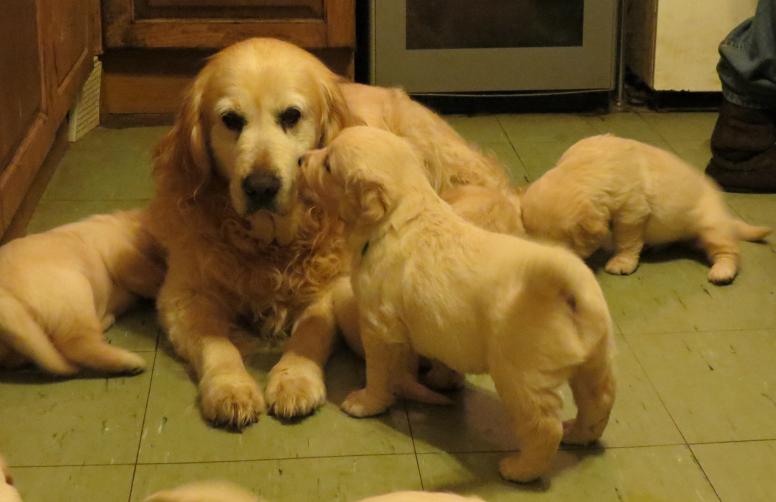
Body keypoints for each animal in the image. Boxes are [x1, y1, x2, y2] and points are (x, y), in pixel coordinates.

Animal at [0, 209, 164, 376]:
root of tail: (5, 297)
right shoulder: (120, 255)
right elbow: (151, 277)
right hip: (75, 291)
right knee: (77, 345)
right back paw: (130, 362)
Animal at [149, 37, 524, 428]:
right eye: (230, 120)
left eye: (291, 116)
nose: (261, 187)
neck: (272, 246)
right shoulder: (184, 294)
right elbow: (216, 343)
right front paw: (230, 388)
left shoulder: (332, 287)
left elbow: (310, 333)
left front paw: (295, 379)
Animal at [300, 127, 616, 484]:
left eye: (327, 165)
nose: (300, 160)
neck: (401, 216)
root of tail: (571, 293)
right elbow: (444, 358)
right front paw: (442, 380)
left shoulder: (379, 328)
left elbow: (379, 372)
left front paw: (366, 403)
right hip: (595, 361)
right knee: (600, 400)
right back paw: (580, 433)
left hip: (521, 378)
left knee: (543, 427)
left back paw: (520, 469)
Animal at [520, 133, 768, 284]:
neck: (588, 169)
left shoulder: (631, 212)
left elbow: (626, 241)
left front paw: (622, 262)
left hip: (711, 226)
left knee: (729, 251)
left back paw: (722, 272)